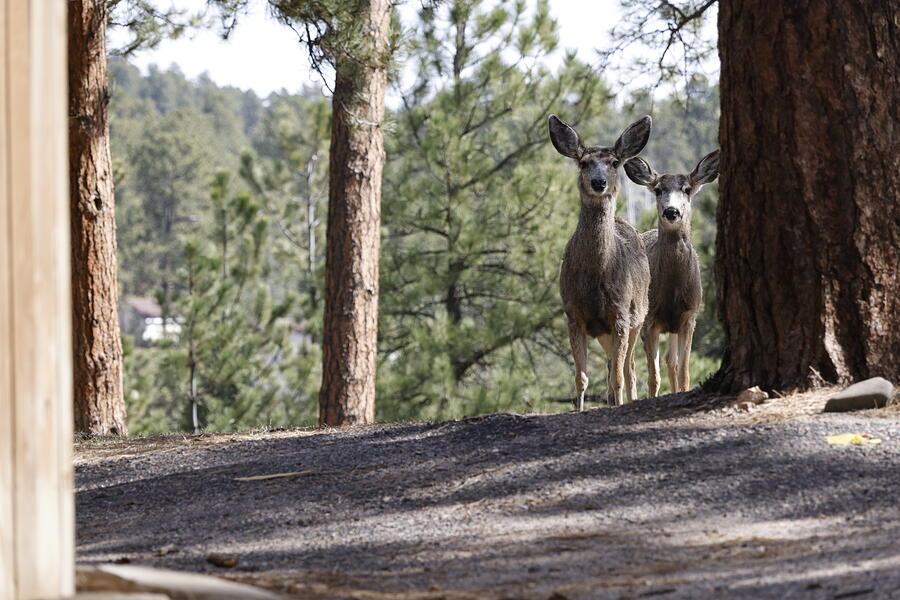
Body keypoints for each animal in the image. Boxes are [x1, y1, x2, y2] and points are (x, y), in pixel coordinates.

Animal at [549, 114, 652, 411]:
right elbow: (580, 378)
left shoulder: (620, 313)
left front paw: (619, 403)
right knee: (612, 367)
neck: (596, 276)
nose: (598, 182)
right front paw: (579, 409)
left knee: (629, 369)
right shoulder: (572, 312)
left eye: (615, 162)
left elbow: (619, 375)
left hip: (639, 315)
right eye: (583, 162)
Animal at [623, 149, 720, 397]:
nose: (671, 211)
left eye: (686, 189)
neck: (672, 291)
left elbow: (683, 372)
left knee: (669, 362)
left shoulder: (689, 317)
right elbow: (653, 377)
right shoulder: (650, 321)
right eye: (658, 189)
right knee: (628, 365)